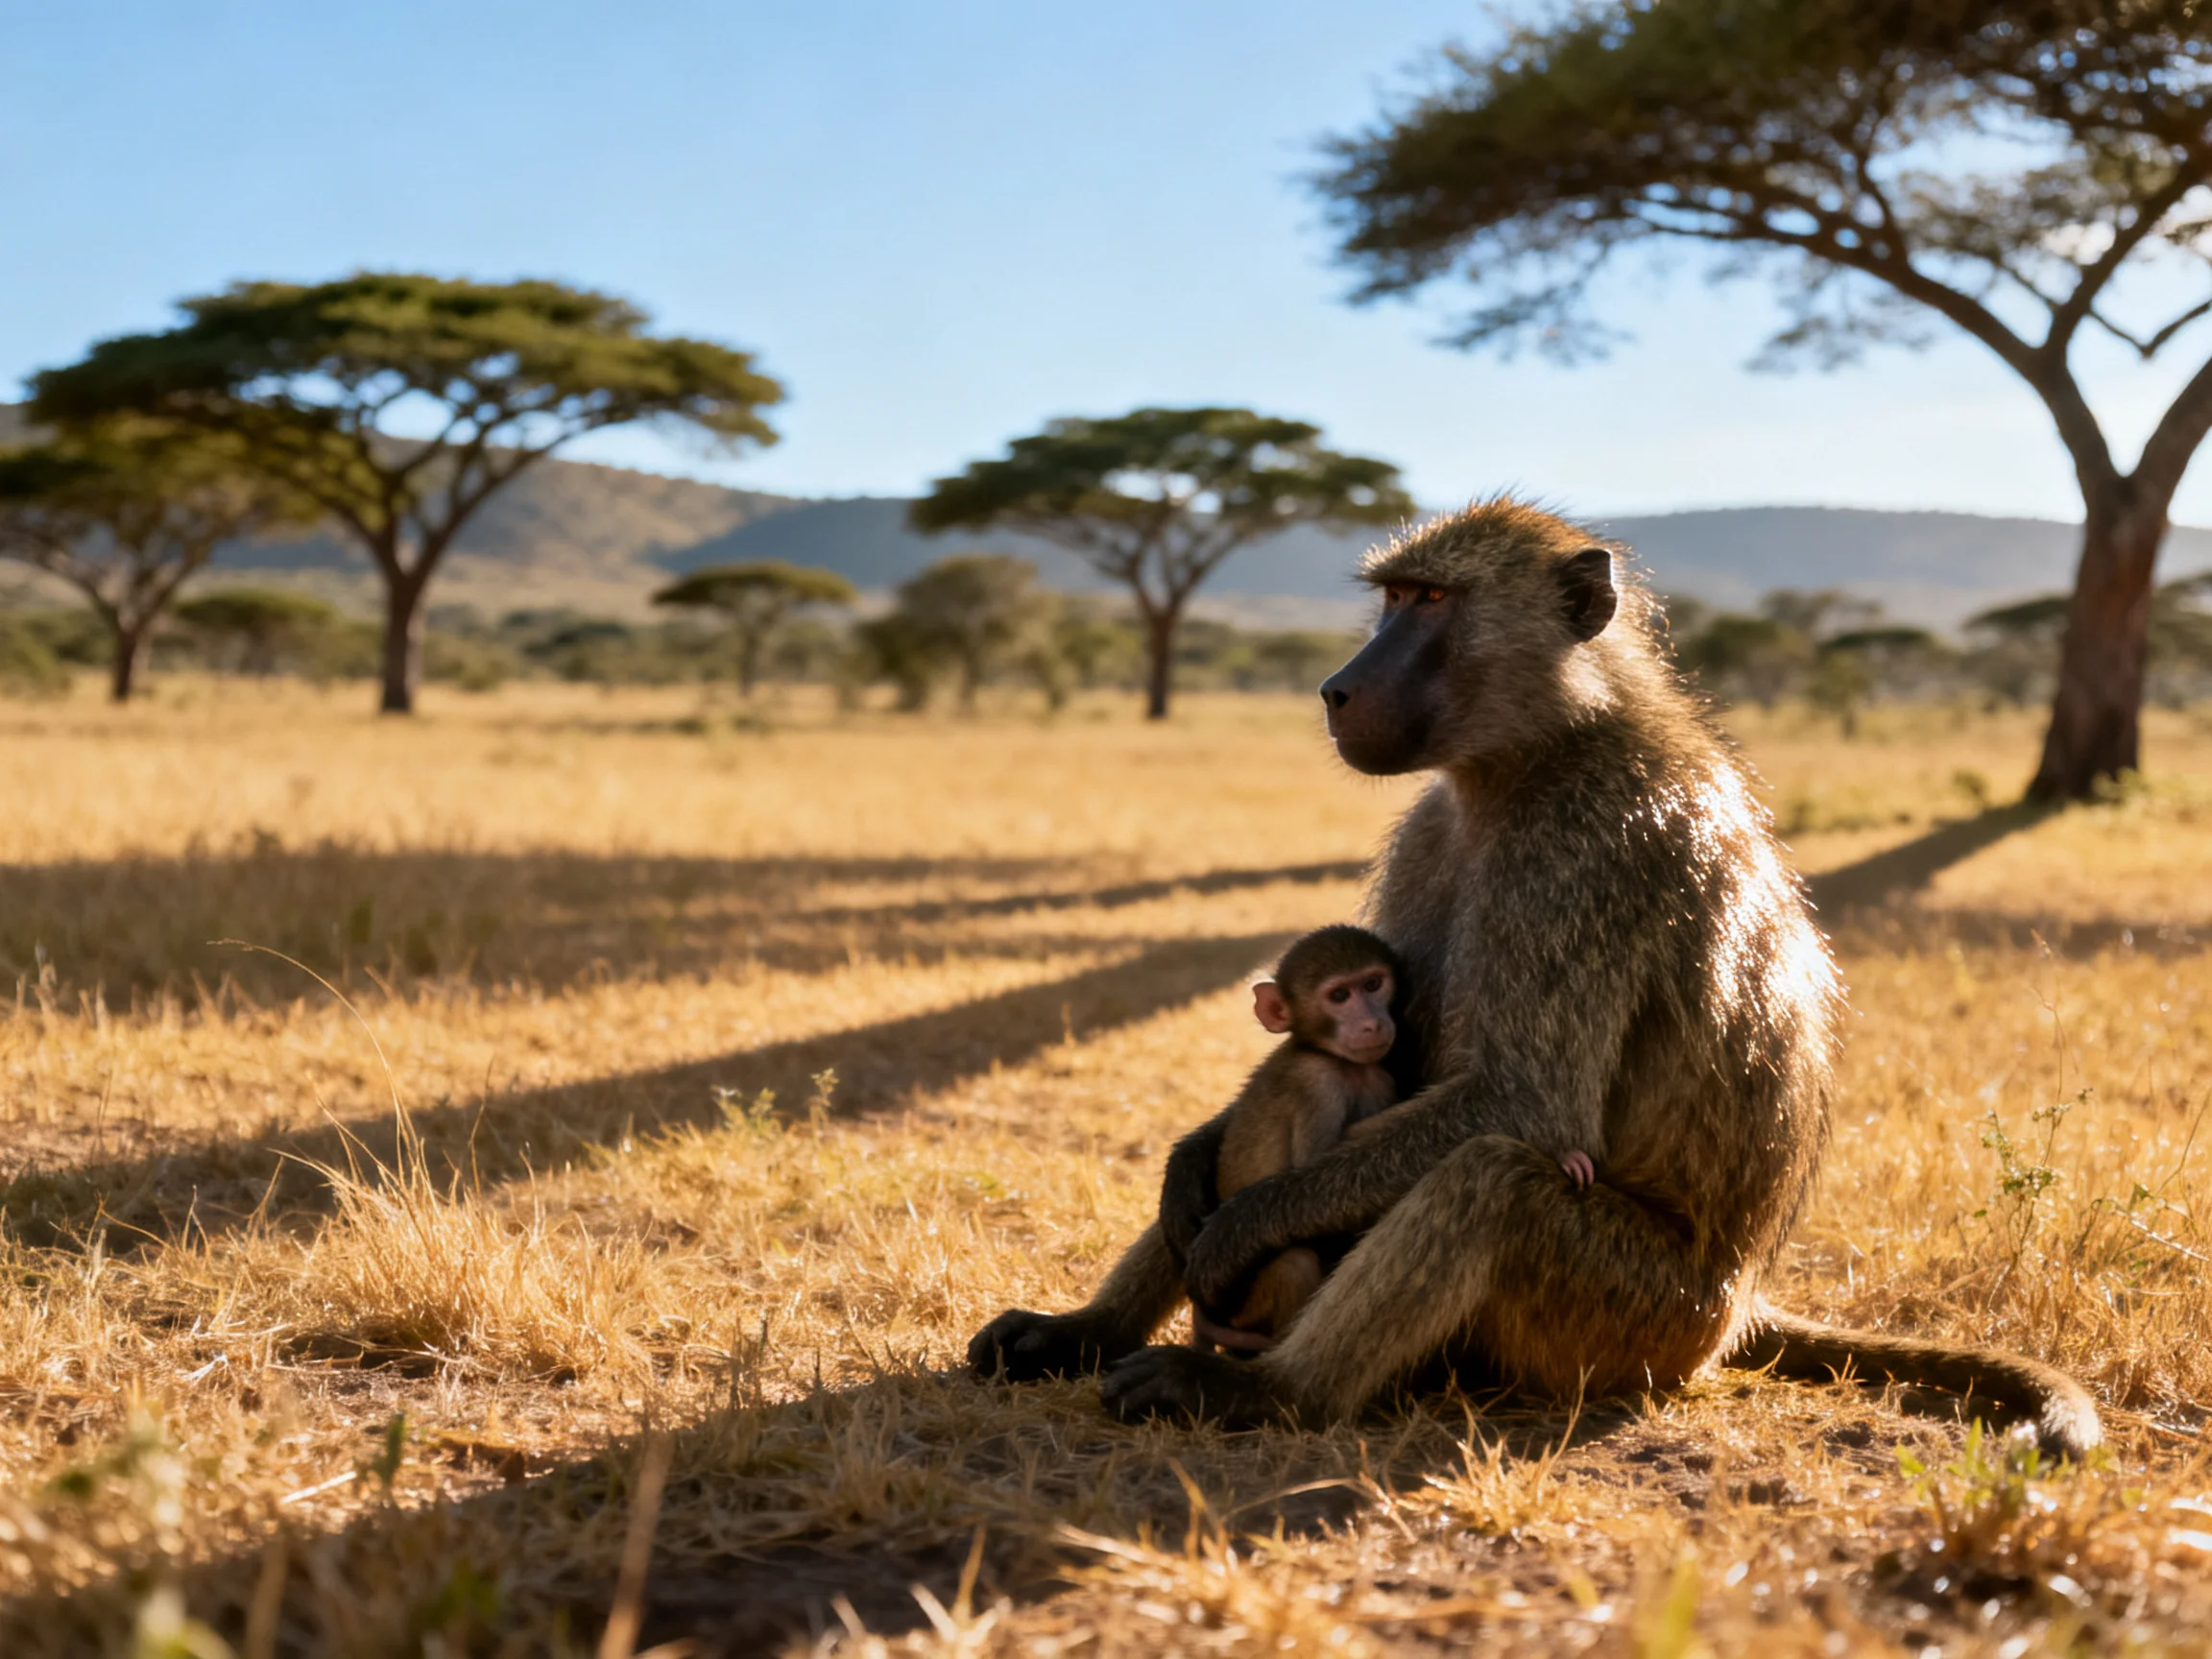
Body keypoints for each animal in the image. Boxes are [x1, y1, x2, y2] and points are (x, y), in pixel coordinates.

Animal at [1189, 924, 1595, 1355]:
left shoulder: (1376, 1077)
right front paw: (1561, 1153)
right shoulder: (1319, 1086)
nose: (1372, 1023)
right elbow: (1314, 1167)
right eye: (1338, 996)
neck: (1333, 1059)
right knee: (1296, 1262)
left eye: (1372, 984)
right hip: (1248, 1305)